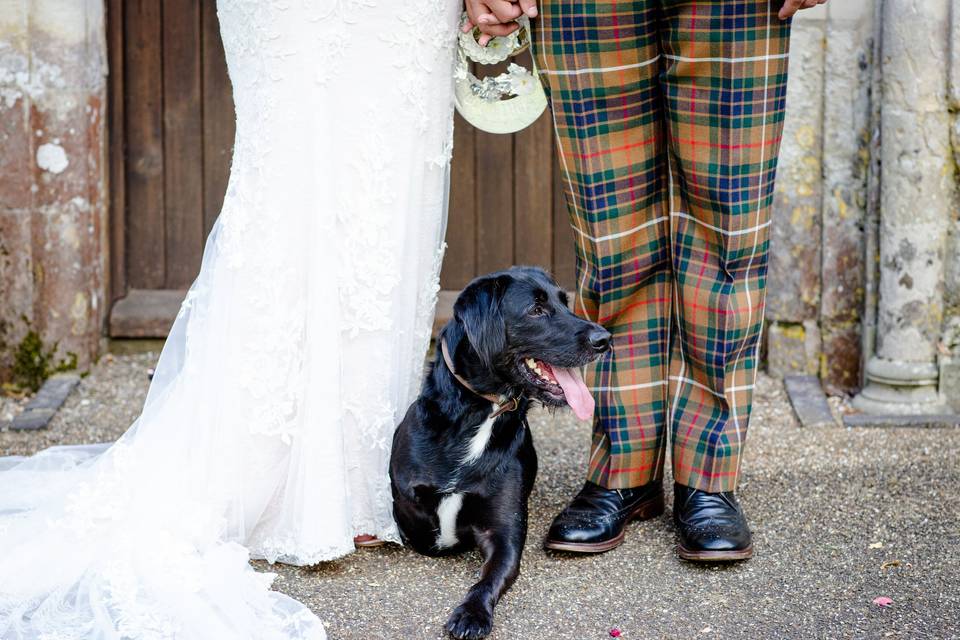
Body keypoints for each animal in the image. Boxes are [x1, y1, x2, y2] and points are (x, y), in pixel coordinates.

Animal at [388, 268, 608, 636]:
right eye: (536, 310)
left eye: (565, 303)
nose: (605, 339)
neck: (483, 414)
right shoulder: (407, 504)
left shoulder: (504, 534)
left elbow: (487, 580)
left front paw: (471, 613)